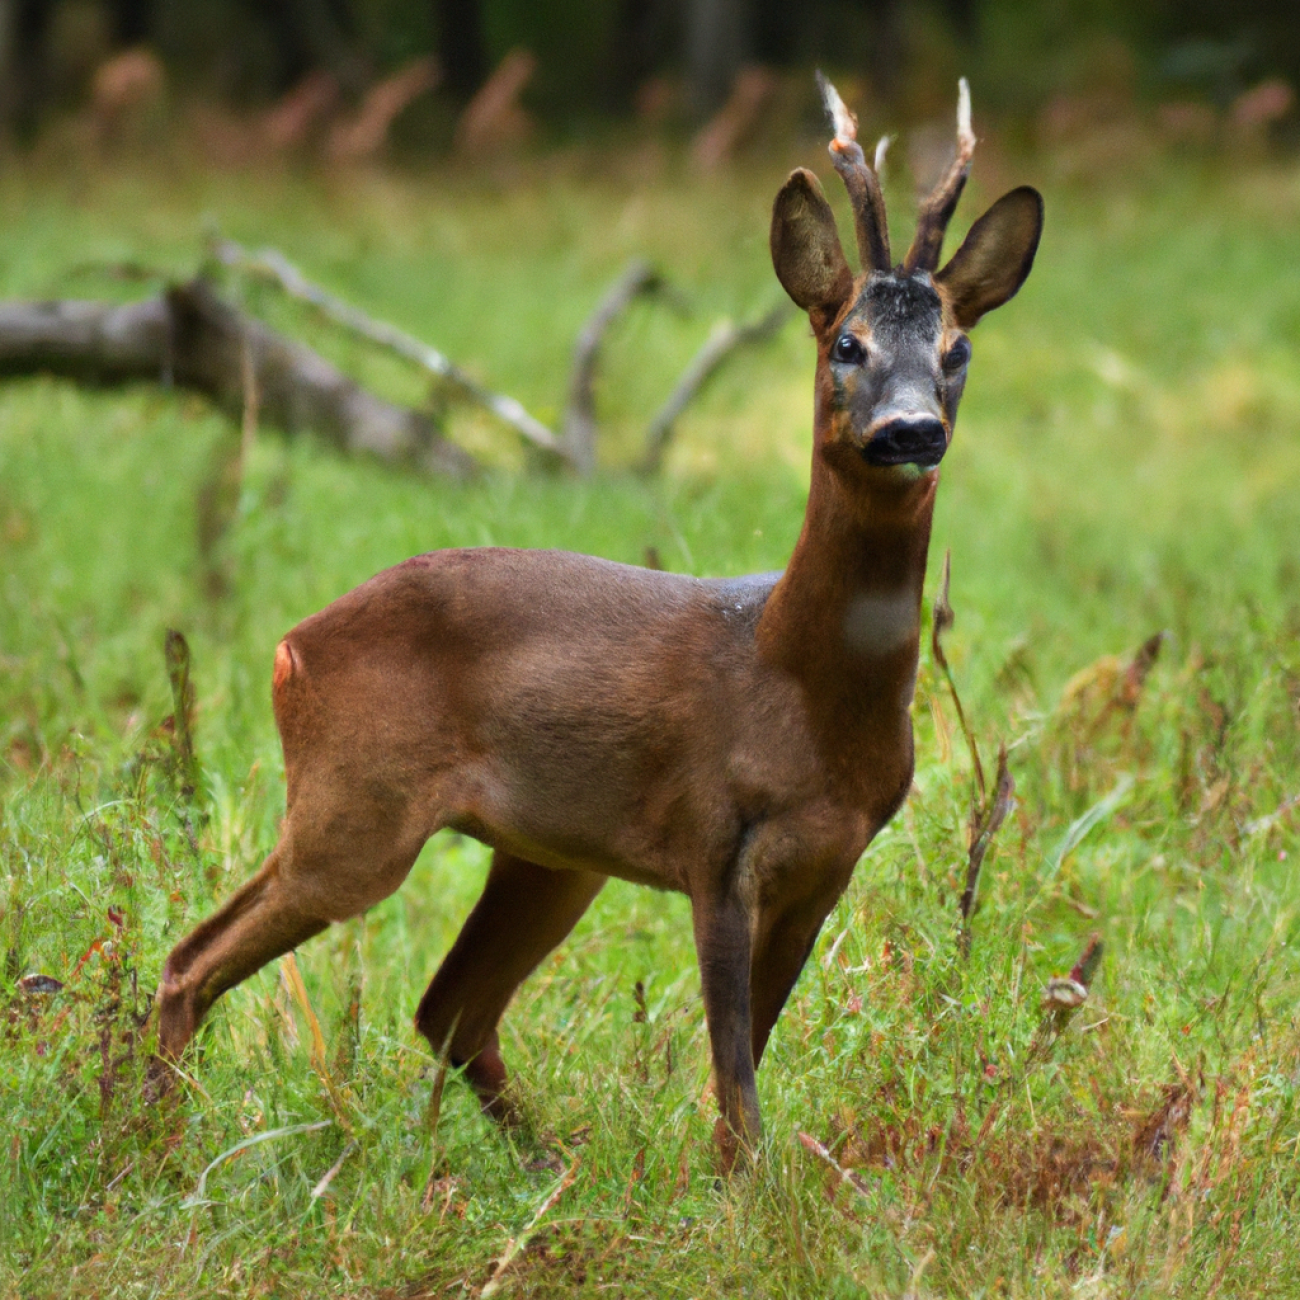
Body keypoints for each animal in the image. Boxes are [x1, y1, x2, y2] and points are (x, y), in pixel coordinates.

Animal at [154, 76, 1045, 1164]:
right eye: (847, 342)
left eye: (957, 349)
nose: (911, 429)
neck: (791, 679)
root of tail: (290, 647)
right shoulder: (715, 843)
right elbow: (736, 1078)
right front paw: (744, 1197)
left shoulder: (828, 864)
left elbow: (745, 1065)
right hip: (354, 810)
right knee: (195, 957)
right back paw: (150, 1145)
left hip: (544, 854)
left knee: (450, 1006)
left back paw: (552, 1166)